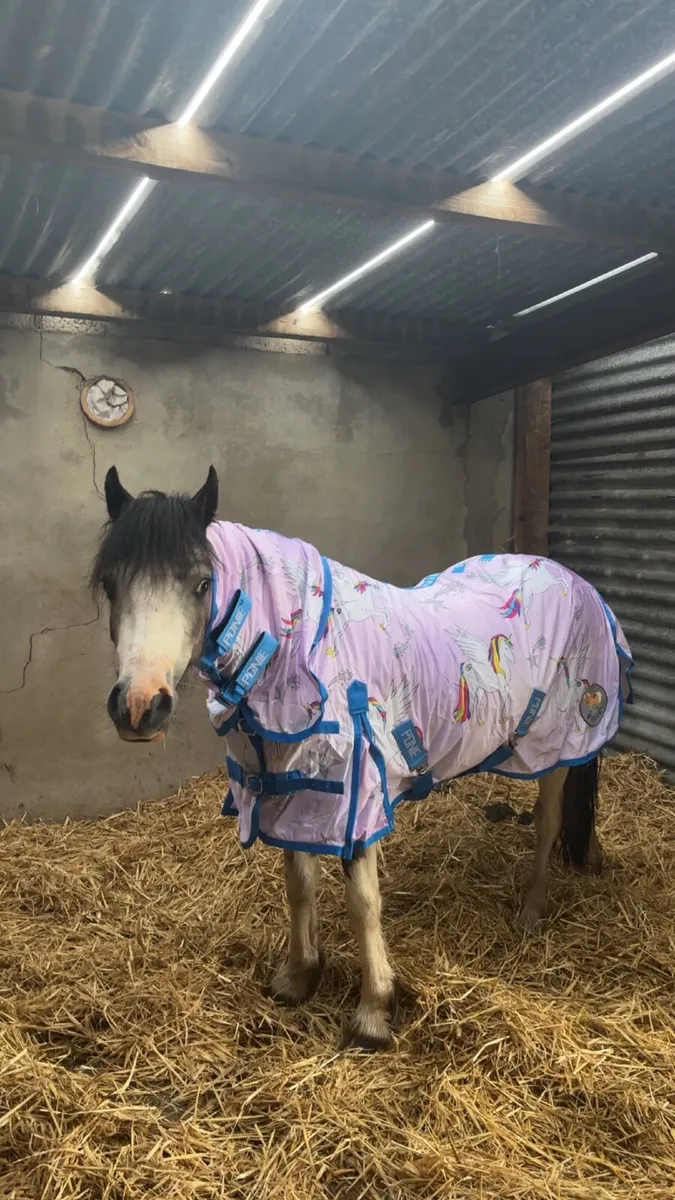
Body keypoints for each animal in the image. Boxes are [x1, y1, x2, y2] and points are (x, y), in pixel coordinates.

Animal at [91, 466, 633, 1051]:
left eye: (200, 583)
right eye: (111, 584)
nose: (139, 706)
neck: (299, 652)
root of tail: (577, 582)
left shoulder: (357, 797)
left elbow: (363, 904)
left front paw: (373, 1011)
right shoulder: (291, 788)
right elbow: (299, 886)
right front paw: (298, 976)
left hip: (556, 742)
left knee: (549, 819)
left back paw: (533, 909)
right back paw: (588, 859)